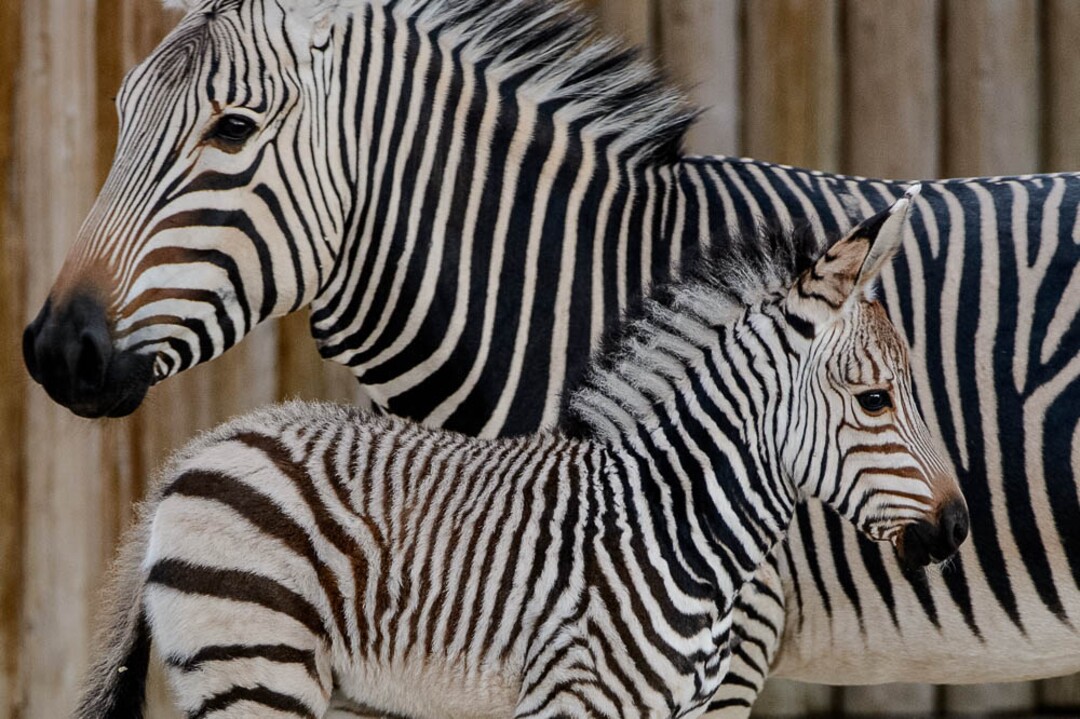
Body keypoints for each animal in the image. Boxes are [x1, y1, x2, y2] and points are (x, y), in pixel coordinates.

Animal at [77, 195, 967, 719]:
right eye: (875, 401)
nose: (958, 527)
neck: (671, 522)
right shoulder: (575, 697)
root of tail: (193, 457)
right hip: (257, 664)